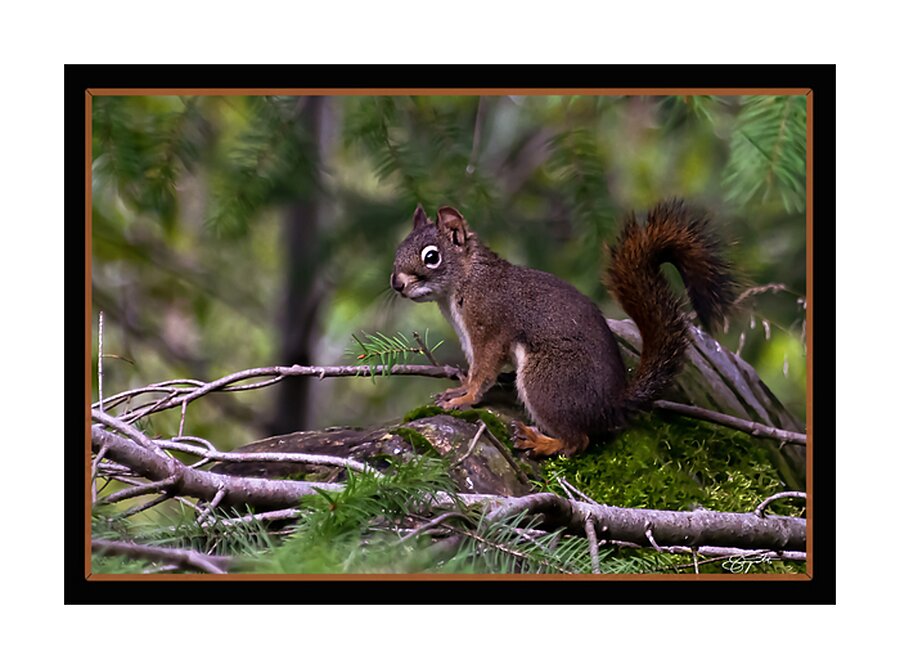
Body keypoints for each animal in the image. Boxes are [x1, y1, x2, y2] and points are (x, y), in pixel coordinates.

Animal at [390, 199, 736, 457]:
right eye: (399, 249)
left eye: (431, 257)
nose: (396, 284)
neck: (466, 282)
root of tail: (611, 405)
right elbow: (474, 369)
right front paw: (458, 388)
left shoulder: (490, 327)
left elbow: (484, 370)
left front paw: (465, 398)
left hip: (546, 382)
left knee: (578, 442)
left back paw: (541, 442)